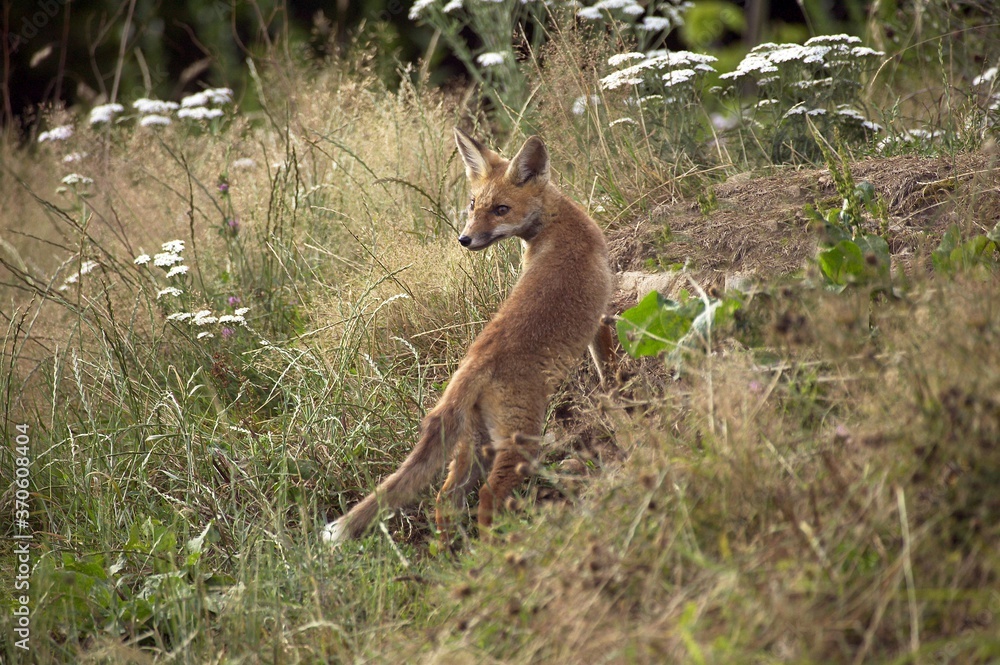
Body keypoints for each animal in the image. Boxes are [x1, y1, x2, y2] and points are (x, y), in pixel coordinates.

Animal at [322, 128, 614, 544]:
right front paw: (622, 399)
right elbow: (610, 369)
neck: (558, 225)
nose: (463, 239)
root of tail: (472, 363)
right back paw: (496, 547)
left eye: (500, 209)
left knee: (445, 498)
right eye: (474, 204)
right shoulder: (602, 316)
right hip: (521, 442)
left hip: (475, 445)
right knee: (487, 498)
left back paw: (449, 552)